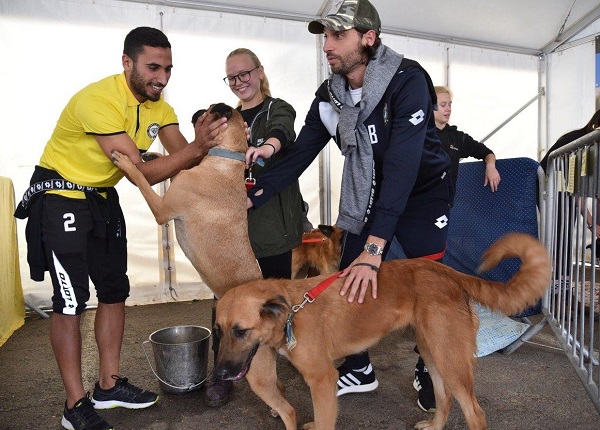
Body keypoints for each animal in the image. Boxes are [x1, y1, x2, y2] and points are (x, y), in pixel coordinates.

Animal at [213, 233, 552, 430]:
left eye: (240, 331)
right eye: (219, 331)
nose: (220, 373)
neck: (291, 310)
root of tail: (449, 272)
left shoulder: (322, 380)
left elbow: (322, 420)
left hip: (450, 360)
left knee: (474, 413)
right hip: (433, 352)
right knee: (444, 398)